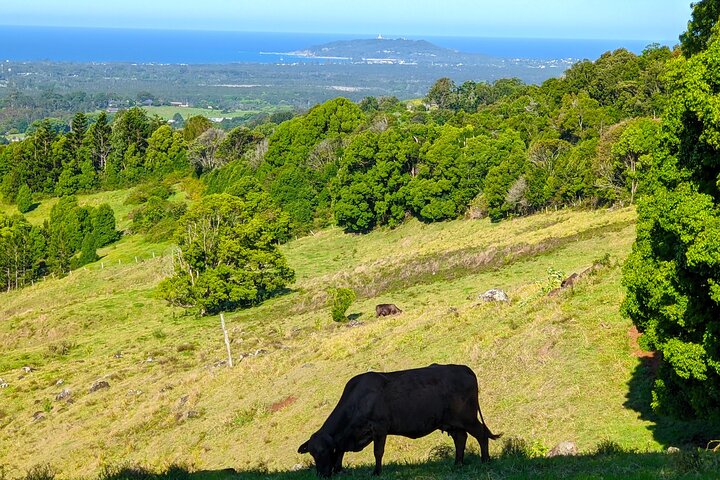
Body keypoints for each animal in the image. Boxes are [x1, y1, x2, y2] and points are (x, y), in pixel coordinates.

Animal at [298, 364, 500, 476]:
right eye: (313, 453)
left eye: (324, 452)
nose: (321, 475)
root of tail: (463, 368)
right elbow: (340, 451)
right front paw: (339, 469)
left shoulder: (379, 428)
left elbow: (378, 452)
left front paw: (376, 472)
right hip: (452, 422)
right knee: (461, 439)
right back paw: (457, 463)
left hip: (468, 418)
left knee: (481, 434)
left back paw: (485, 460)